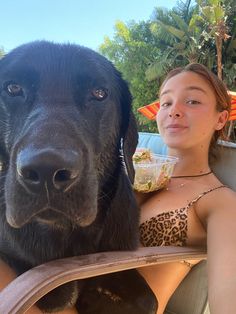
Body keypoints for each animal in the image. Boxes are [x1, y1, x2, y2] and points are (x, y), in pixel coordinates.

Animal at [0, 42, 158, 314]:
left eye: (99, 93)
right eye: (13, 88)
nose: (46, 171)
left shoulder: (121, 256)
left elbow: (149, 300)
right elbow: (62, 294)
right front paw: (89, 296)